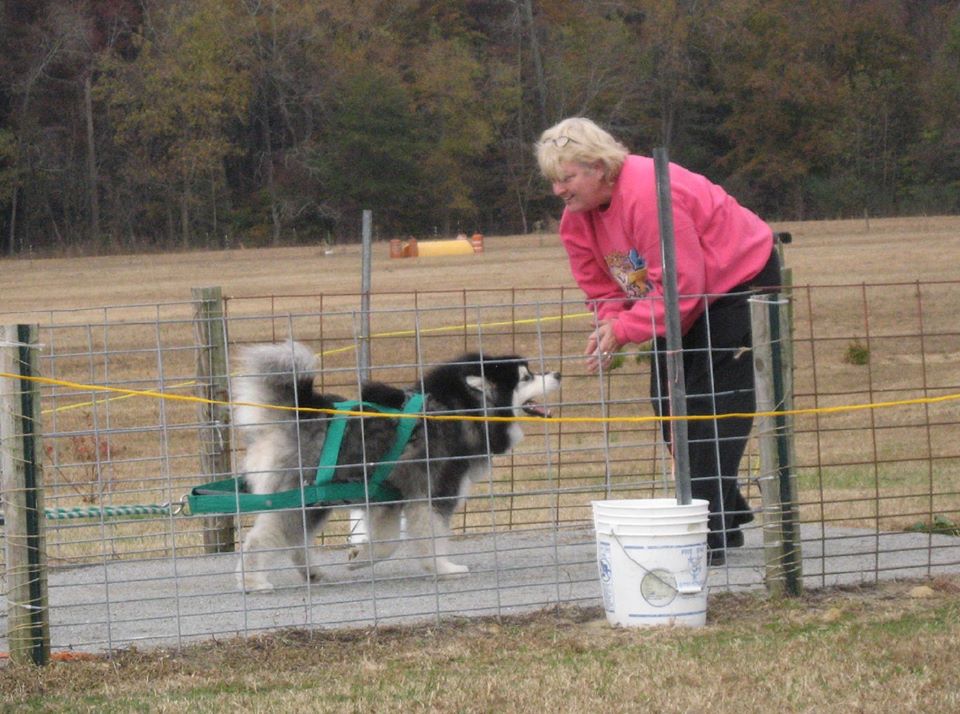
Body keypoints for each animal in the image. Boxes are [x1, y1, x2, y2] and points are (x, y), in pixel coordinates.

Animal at [234, 340, 564, 588]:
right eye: (527, 377)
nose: (558, 374)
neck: (458, 410)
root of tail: (301, 411)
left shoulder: (389, 499)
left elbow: (387, 543)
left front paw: (361, 557)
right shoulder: (433, 493)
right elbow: (430, 537)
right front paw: (443, 569)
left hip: (317, 499)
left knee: (296, 539)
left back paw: (312, 572)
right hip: (304, 497)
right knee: (263, 538)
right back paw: (253, 581)